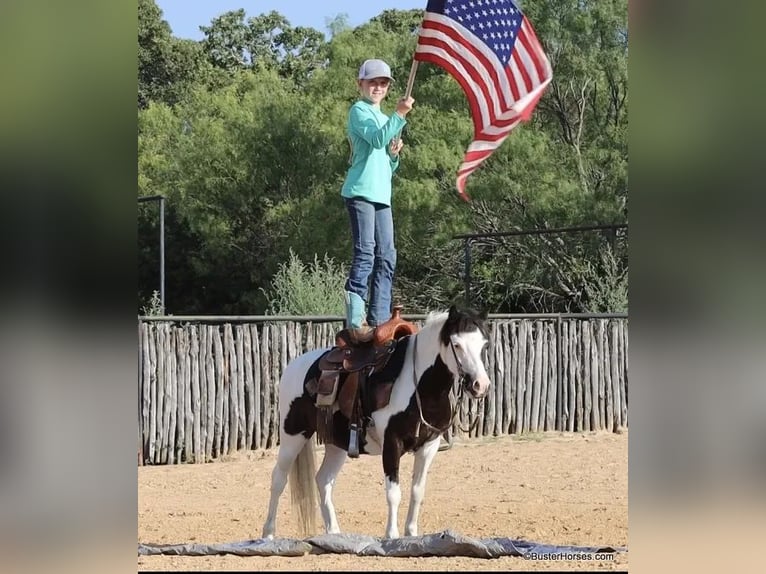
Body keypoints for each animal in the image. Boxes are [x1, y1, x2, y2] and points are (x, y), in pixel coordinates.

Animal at [261, 305, 491, 539]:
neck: (419, 387)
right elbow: (393, 493)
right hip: (293, 434)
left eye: (484, 344)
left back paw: (333, 533)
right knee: (278, 479)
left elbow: (417, 491)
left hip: (337, 443)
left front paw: (411, 533)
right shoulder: (392, 443)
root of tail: (294, 365)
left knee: (323, 480)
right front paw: (392, 535)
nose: (480, 385)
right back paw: (268, 533)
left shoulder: (429, 446)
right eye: (457, 344)